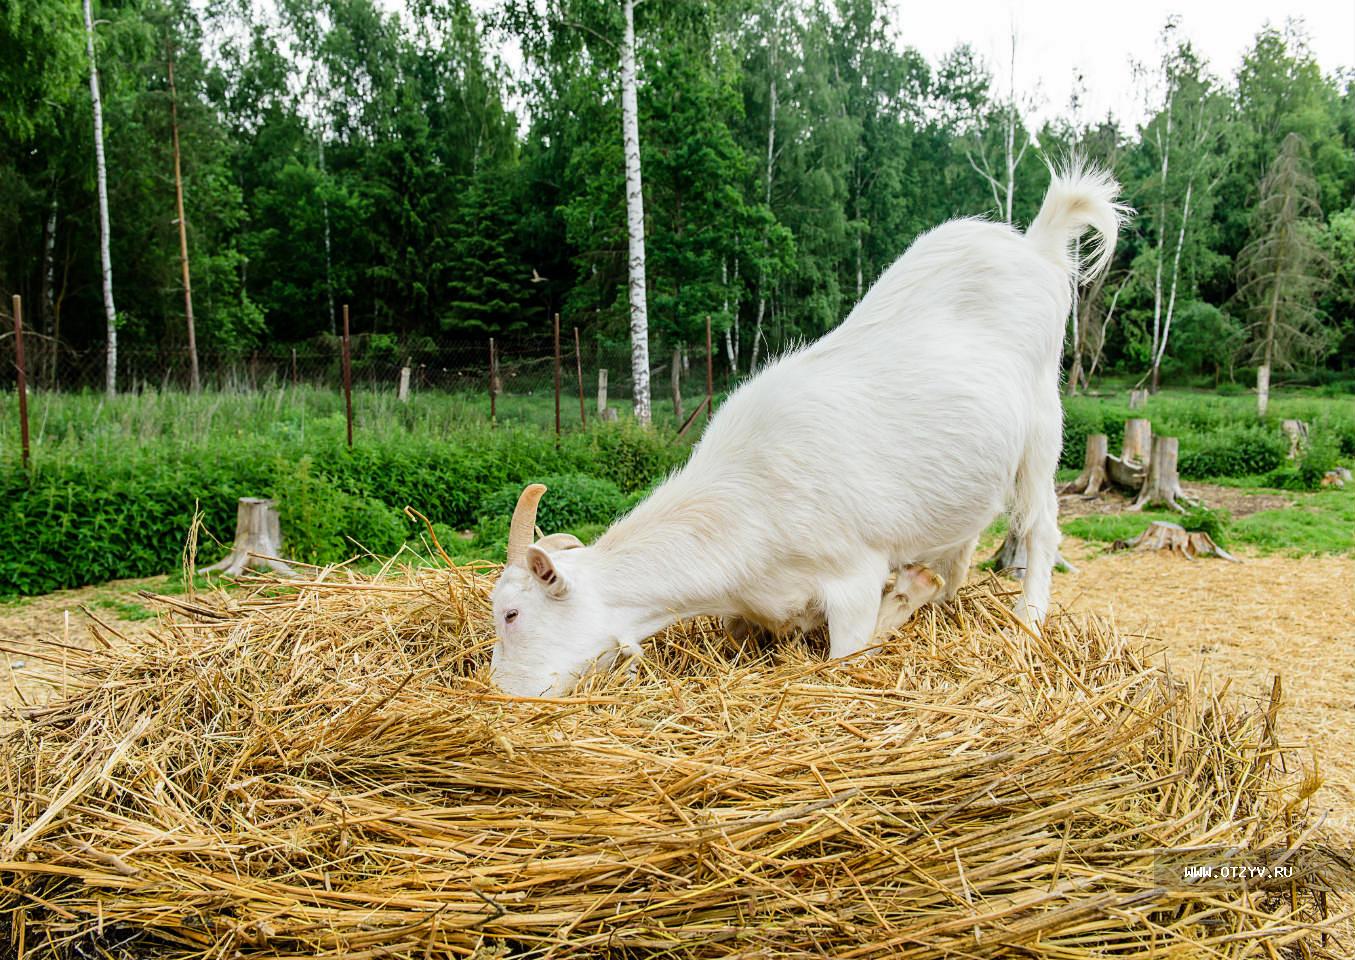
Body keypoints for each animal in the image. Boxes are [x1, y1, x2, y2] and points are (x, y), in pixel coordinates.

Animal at [493, 163, 1127, 688]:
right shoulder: (757, 604)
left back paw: (1028, 620)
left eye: (512, 613)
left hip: (1042, 430)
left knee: (1041, 528)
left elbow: (850, 651)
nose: (502, 693)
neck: (749, 500)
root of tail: (1036, 245)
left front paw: (900, 605)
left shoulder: (852, 577)